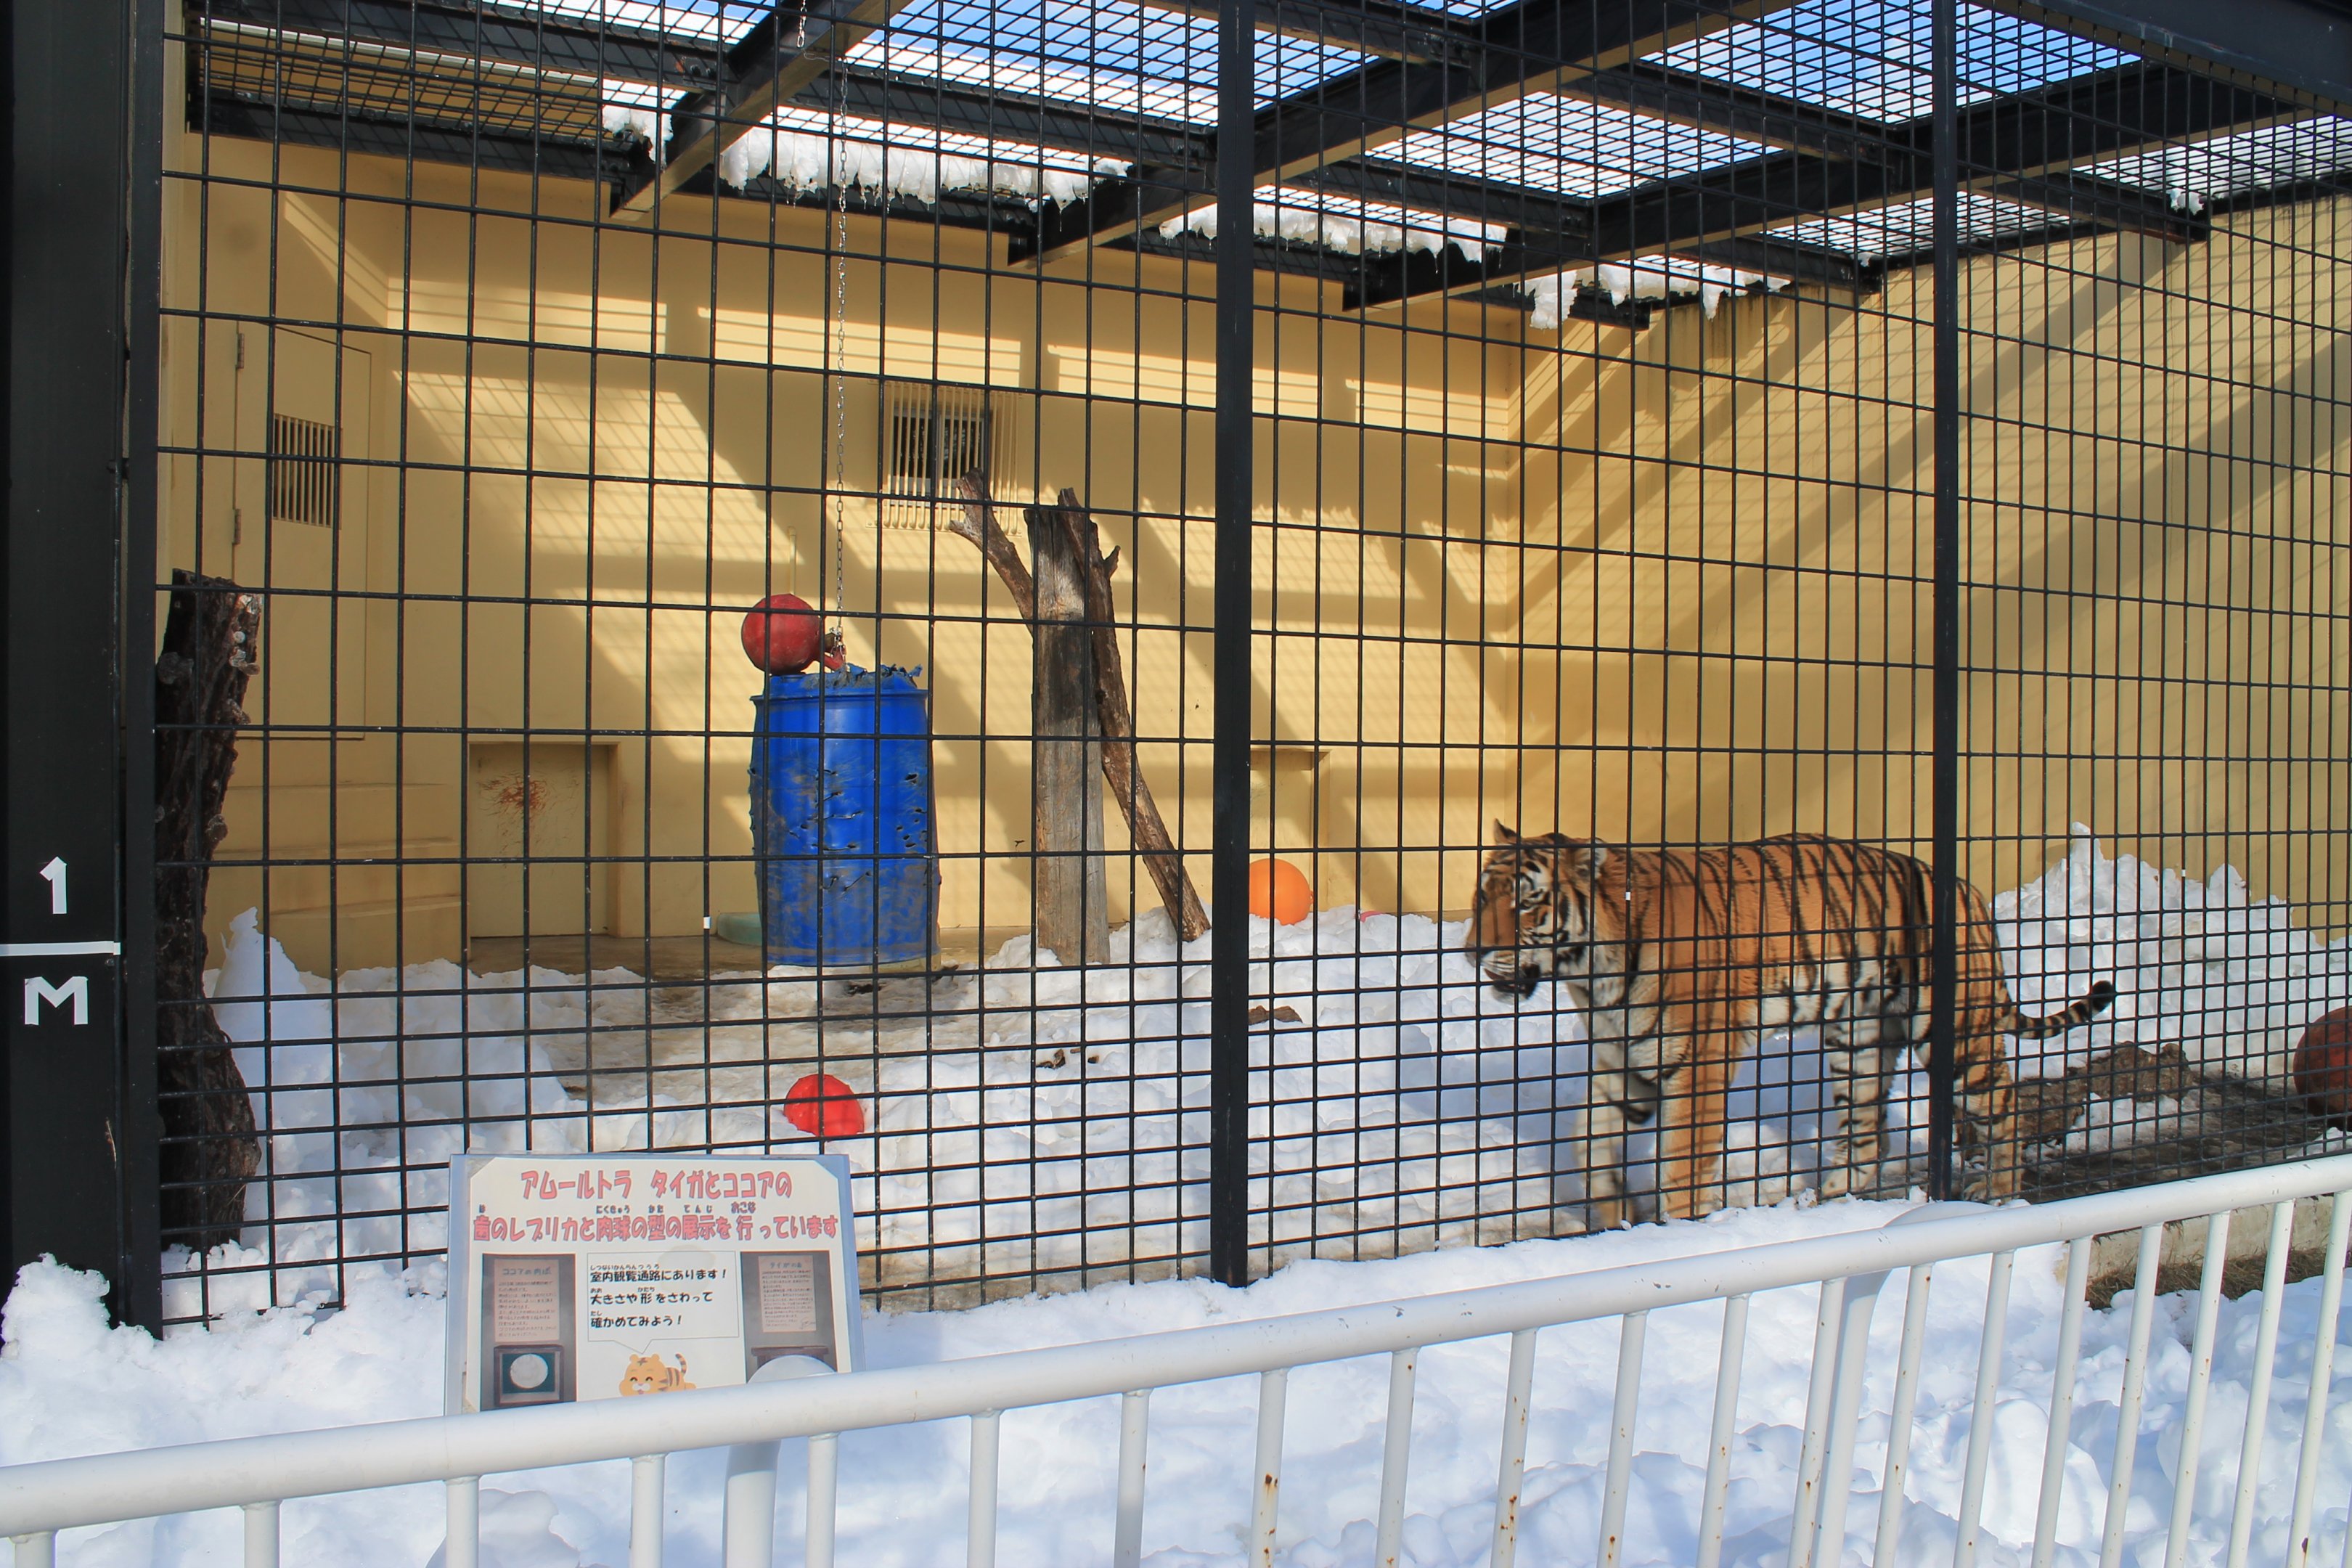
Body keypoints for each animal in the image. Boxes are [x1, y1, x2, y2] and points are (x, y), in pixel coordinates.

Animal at [1467, 826, 2114, 1227]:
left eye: (1527, 903)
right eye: (1481, 895)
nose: (1472, 952)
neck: (1590, 972)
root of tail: (1968, 890)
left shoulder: (1696, 1069)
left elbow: (1680, 1166)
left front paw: (1673, 1233)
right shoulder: (1623, 1062)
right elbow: (1589, 1146)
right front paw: (1615, 1215)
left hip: (1955, 1036)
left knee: (2007, 1104)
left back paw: (2000, 1197)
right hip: (1859, 1044)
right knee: (1866, 1134)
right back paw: (1826, 1208)